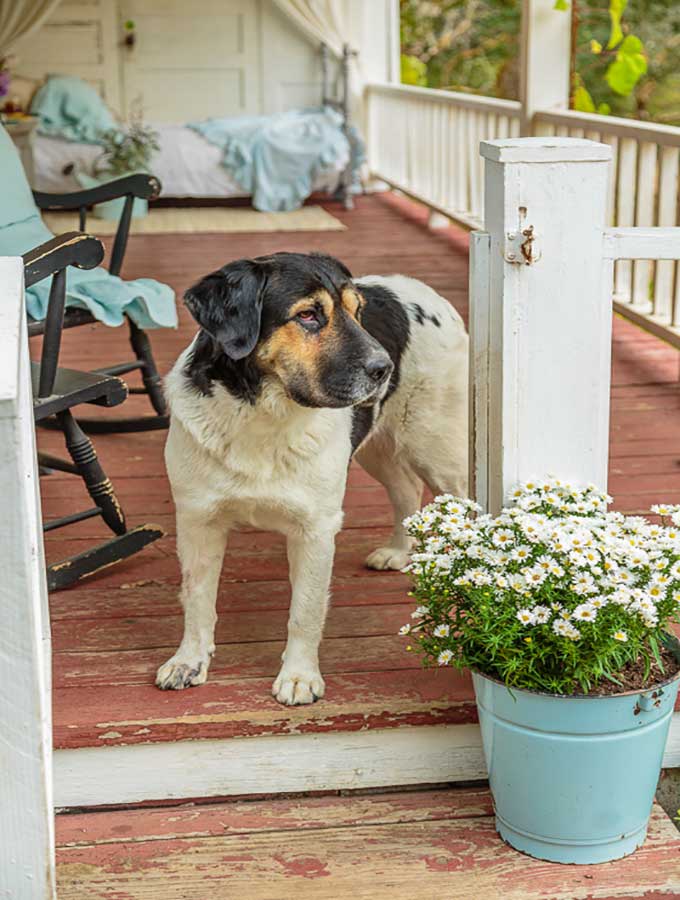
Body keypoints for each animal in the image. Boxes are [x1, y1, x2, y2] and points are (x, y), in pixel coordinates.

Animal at [157, 251, 470, 704]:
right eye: (307, 315)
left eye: (357, 313)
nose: (384, 368)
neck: (262, 414)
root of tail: (430, 292)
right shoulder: (198, 520)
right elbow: (197, 599)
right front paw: (189, 661)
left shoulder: (315, 528)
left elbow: (304, 611)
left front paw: (299, 678)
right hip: (376, 446)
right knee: (406, 489)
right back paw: (398, 551)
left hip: (436, 447)